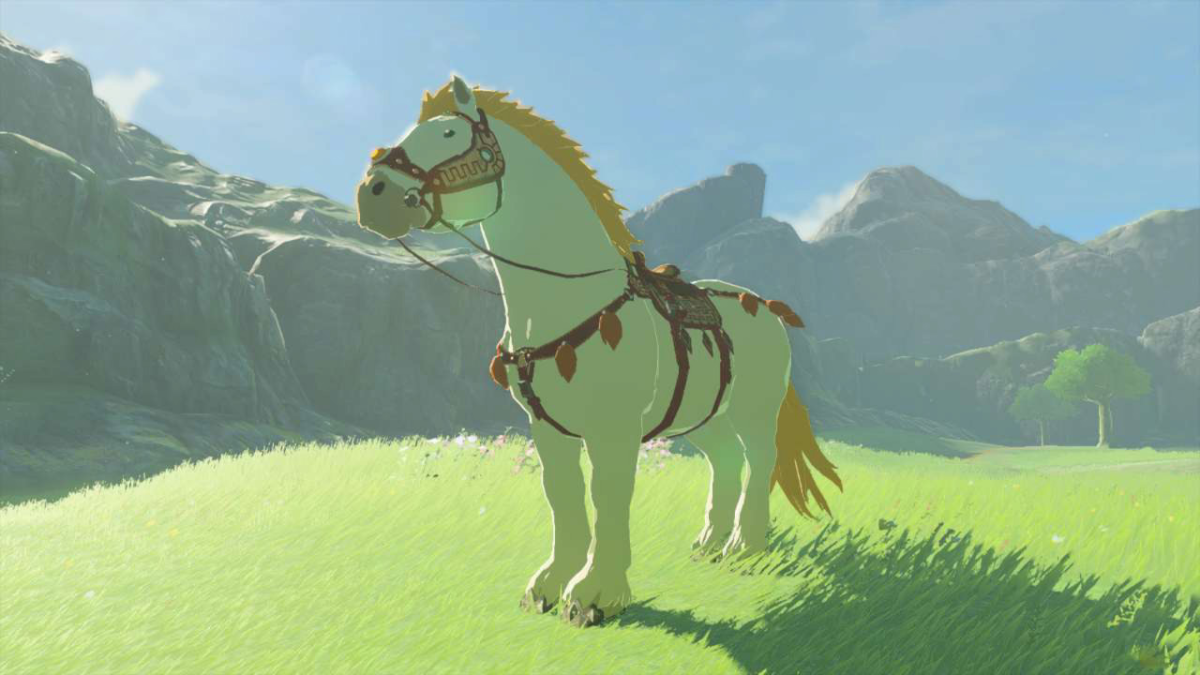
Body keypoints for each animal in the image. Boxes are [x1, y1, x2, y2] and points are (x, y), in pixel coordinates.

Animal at [355, 75, 842, 627]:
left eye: (448, 133)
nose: (371, 194)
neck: (569, 299)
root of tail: (765, 305)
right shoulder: (547, 429)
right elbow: (562, 495)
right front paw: (548, 584)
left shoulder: (614, 429)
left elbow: (607, 494)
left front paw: (596, 594)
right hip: (702, 417)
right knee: (725, 461)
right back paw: (710, 542)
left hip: (753, 410)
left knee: (759, 461)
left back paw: (744, 546)